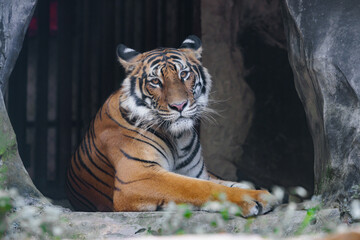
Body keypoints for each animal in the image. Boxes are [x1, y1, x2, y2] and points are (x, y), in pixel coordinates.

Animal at [65, 34, 278, 217]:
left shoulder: (198, 172)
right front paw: (256, 198)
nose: (179, 105)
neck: (179, 138)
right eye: (155, 81)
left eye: (184, 74)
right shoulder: (138, 176)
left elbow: (227, 183)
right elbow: (198, 187)